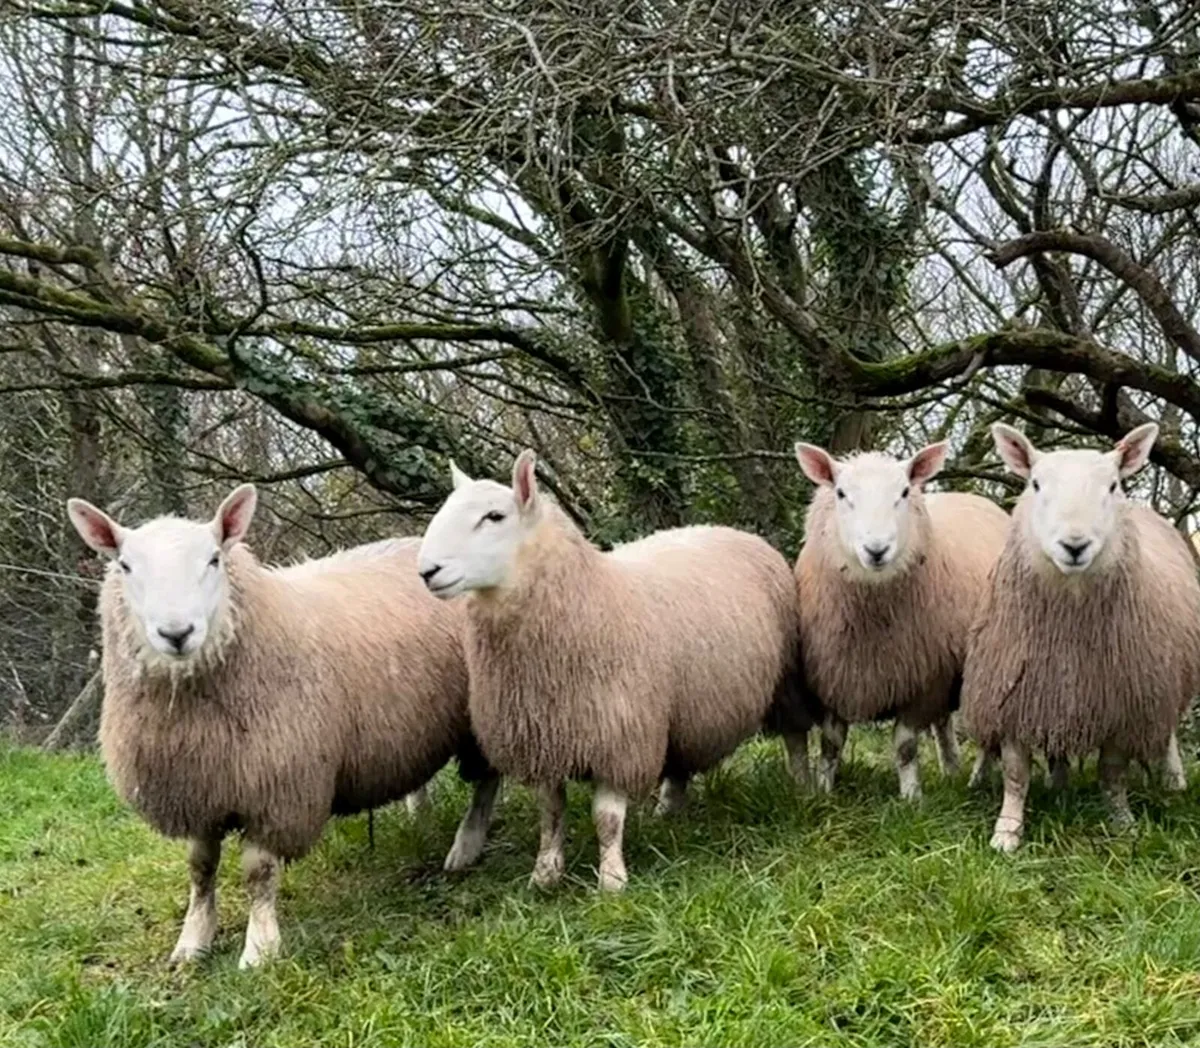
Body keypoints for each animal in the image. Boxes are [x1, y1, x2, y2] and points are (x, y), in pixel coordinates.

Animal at [66, 485, 500, 968]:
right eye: (125, 565)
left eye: (214, 559)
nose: (176, 633)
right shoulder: (198, 788)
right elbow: (200, 869)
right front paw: (192, 941)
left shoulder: (278, 790)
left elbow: (259, 873)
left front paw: (260, 949)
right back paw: (419, 816)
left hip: (486, 709)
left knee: (487, 781)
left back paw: (465, 846)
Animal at [415, 451, 810, 892]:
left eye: (494, 516)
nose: (427, 570)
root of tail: (729, 529)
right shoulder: (544, 737)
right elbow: (550, 813)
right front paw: (545, 873)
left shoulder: (619, 735)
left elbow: (606, 818)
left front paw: (611, 880)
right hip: (682, 706)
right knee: (680, 761)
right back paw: (668, 810)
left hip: (786, 678)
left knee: (795, 737)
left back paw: (802, 788)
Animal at [793, 439, 1010, 799]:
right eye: (841, 493)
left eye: (904, 492)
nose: (877, 550)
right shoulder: (832, 680)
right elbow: (830, 745)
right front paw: (823, 791)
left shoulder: (923, 681)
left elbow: (905, 746)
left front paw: (910, 797)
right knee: (943, 725)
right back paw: (951, 770)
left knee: (986, 736)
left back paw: (976, 779)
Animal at [962, 422, 1200, 853]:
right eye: (1036, 484)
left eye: (1112, 485)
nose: (1074, 545)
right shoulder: (1020, 698)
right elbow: (1016, 775)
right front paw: (1007, 832)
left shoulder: (1121, 705)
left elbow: (1112, 773)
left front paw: (1123, 823)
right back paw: (1057, 785)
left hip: (1164, 678)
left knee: (1168, 731)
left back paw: (1173, 780)